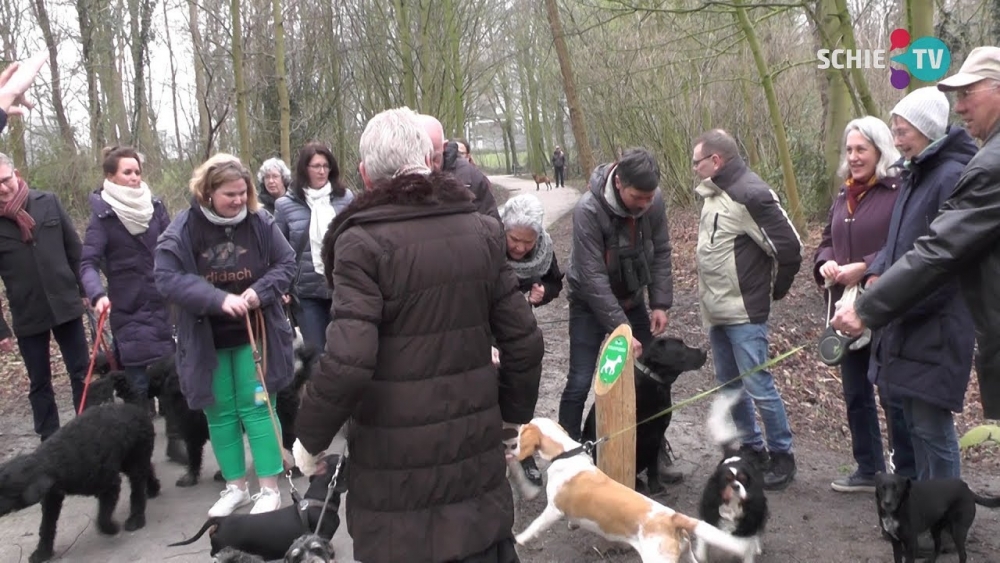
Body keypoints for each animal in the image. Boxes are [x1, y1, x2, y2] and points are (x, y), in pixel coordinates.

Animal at [0, 406, 158, 563]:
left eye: (6, 492)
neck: (56, 460)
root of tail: (138, 410)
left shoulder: (110, 485)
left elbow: (102, 517)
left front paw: (111, 528)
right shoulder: (52, 498)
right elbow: (46, 526)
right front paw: (43, 552)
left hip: (135, 461)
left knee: (137, 490)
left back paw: (136, 519)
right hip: (128, 462)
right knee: (148, 470)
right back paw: (153, 489)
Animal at [512, 416, 752, 560]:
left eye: (525, 428)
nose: (516, 428)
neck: (565, 453)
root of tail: (673, 518)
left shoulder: (552, 510)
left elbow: (534, 526)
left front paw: (520, 539)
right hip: (686, 557)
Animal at [696, 392, 772, 563]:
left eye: (743, 480)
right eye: (726, 480)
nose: (736, 486)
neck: (732, 507)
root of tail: (733, 453)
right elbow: (703, 545)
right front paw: (701, 555)